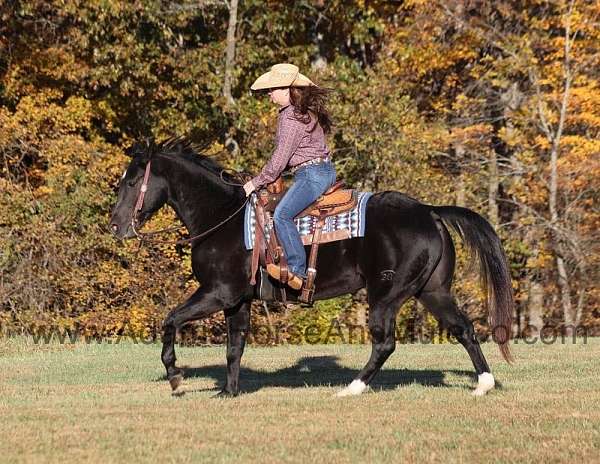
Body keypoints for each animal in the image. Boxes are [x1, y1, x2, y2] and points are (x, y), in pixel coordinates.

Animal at [110, 137, 512, 396]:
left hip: (387, 294)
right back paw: (483, 385)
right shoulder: (238, 300)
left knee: (385, 343)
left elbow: (171, 320)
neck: (223, 217)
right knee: (463, 329)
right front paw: (229, 392)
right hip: (433, 291)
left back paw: (351, 388)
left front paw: (175, 375)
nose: (115, 225)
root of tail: (429, 211)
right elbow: (234, 347)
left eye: (132, 181)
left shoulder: (217, 293)